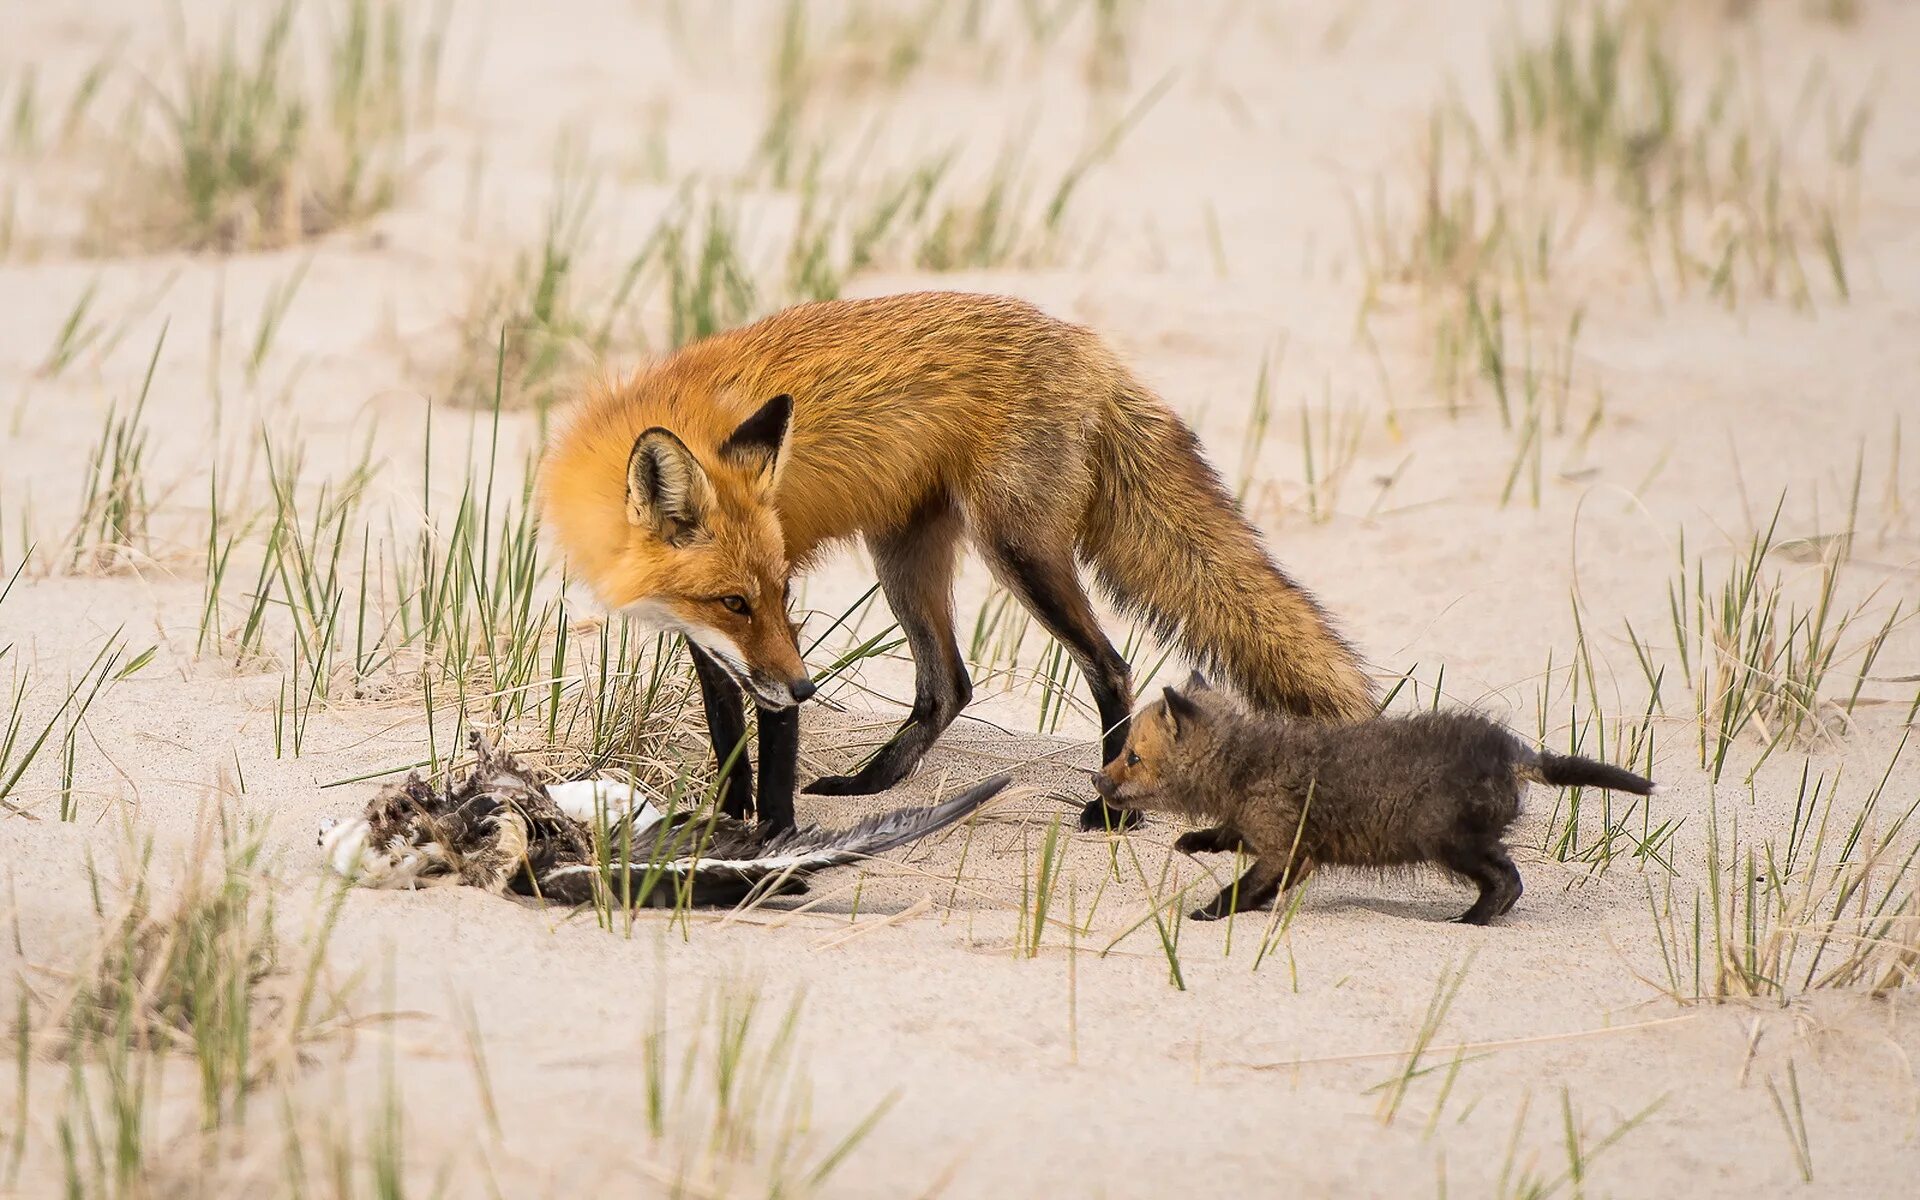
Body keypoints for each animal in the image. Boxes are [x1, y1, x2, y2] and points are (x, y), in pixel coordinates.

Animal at [545, 295, 1382, 829]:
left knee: (1109, 665)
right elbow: (729, 742)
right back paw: (872, 783)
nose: (810, 686)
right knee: (949, 684)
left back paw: (1110, 812)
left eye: (780, 593)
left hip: (1018, 551)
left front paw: (771, 839)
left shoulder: (778, 641)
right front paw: (726, 821)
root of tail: (1091, 350)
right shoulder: (719, 643)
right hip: (904, 558)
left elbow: (771, 738)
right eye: (732, 602)